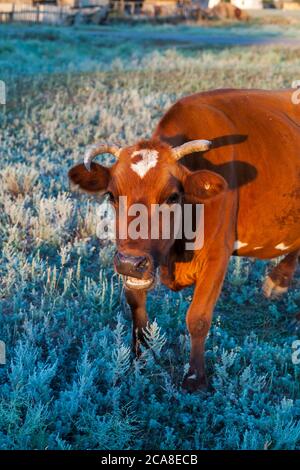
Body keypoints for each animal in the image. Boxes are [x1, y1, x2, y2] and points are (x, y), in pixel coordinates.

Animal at [68, 89, 300, 392]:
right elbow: (135, 304)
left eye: (172, 197)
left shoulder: (217, 255)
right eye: (111, 195)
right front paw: (139, 358)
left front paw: (195, 378)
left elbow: (198, 318)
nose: (130, 262)